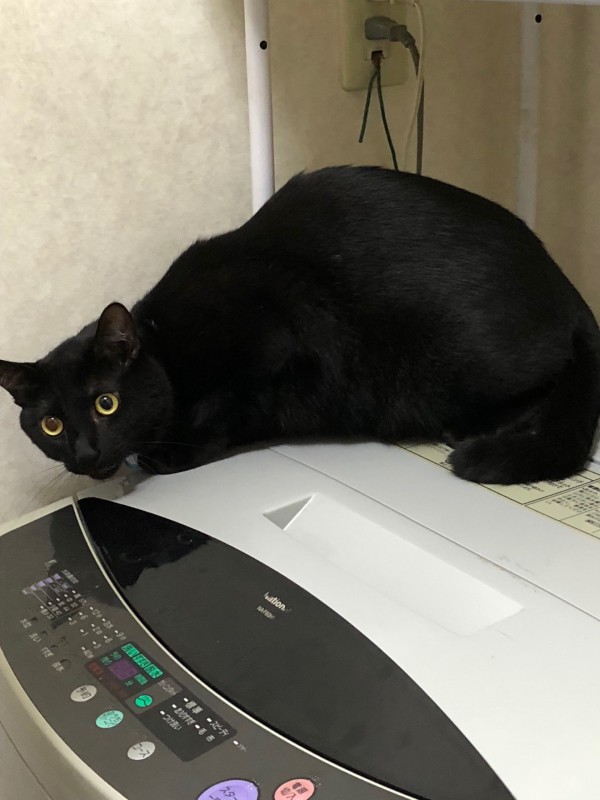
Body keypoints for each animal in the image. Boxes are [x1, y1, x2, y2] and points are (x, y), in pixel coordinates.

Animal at [1, 166, 599, 485]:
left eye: (106, 402)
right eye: (50, 425)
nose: (85, 453)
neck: (167, 347)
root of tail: (570, 291)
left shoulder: (274, 342)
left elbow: (225, 409)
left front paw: (174, 451)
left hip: (457, 357)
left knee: (549, 381)